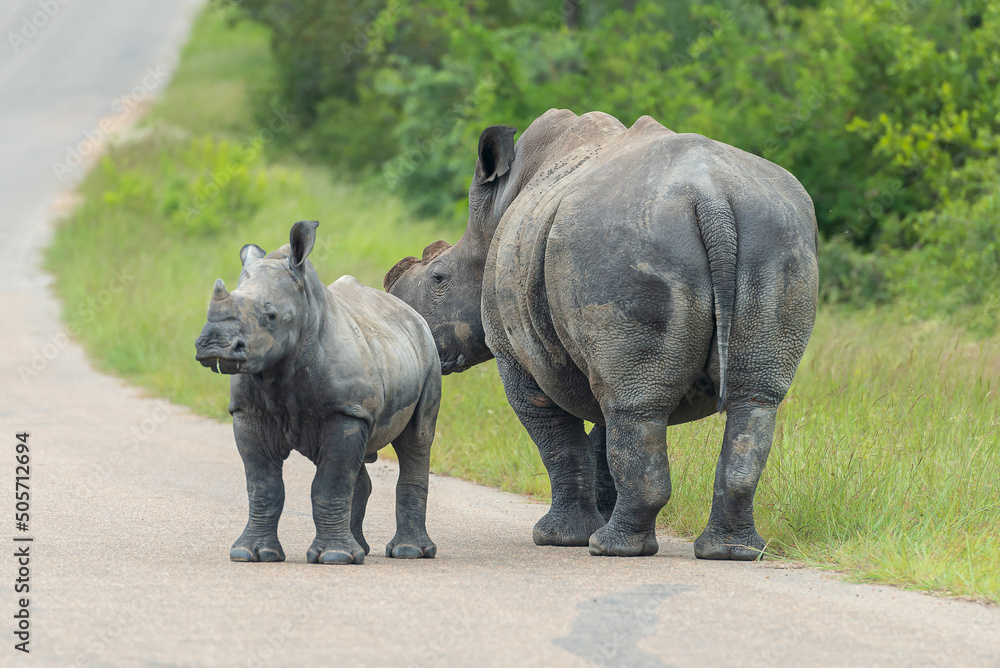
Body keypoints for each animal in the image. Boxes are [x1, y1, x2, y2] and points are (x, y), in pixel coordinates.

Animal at [195, 220, 441, 565]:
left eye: (271, 316)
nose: (215, 344)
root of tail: (412, 313)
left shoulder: (346, 411)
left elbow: (330, 482)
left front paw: (335, 557)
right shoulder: (248, 413)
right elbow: (263, 486)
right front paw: (251, 554)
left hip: (429, 353)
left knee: (417, 440)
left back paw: (408, 552)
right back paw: (361, 549)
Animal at [385, 110, 818, 559]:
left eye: (439, 278)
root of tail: (711, 195)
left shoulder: (518, 354)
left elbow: (561, 442)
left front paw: (559, 538)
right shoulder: (600, 351)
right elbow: (604, 439)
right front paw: (591, 522)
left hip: (622, 245)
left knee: (636, 407)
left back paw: (612, 548)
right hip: (774, 234)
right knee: (749, 399)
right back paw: (731, 552)